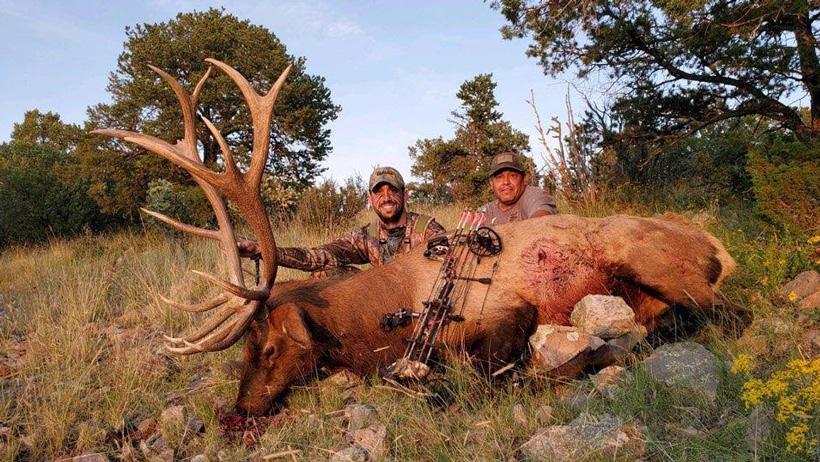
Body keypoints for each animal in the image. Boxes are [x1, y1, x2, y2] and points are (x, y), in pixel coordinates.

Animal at [93, 60, 749, 416]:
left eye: (271, 347)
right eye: (244, 352)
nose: (240, 409)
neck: (381, 320)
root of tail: (718, 247)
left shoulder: (506, 310)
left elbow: (475, 382)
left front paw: (561, 365)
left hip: (650, 261)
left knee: (725, 314)